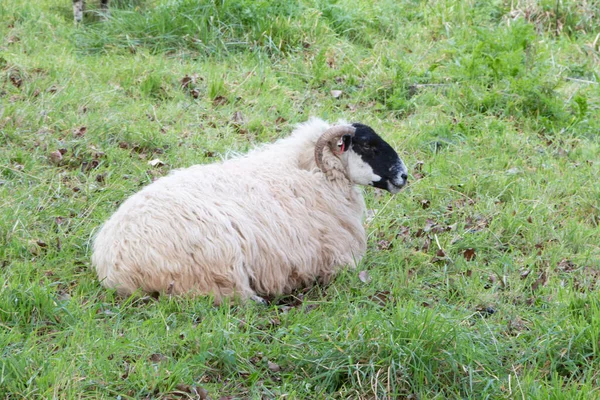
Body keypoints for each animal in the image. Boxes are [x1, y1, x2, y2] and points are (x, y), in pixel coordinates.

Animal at [92, 119, 408, 304]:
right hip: (216, 262)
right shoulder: (337, 260)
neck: (314, 173)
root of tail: (112, 264)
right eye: (367, 145)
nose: (404, 175)